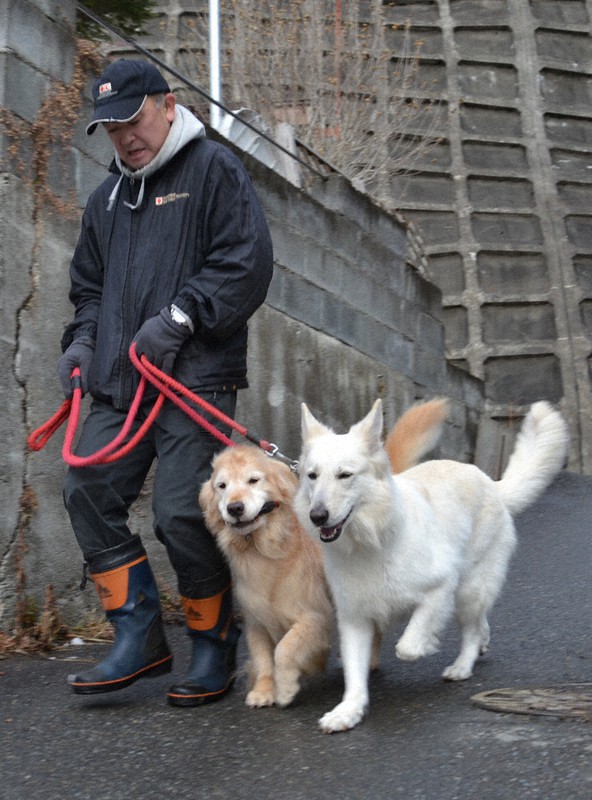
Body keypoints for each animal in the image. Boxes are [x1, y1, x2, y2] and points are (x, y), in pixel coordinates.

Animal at [296, 400, 568, 732]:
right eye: (312, 476)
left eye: (344, 475)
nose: (317, 516)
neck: (373, 542)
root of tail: (490, 482)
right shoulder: (354, 619)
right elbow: (354, 675)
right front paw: (348, 711)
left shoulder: (440, 589)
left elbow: (408, 646)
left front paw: (425, 645)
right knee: (480, 621)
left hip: (468, 589)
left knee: (471, 629)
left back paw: (463, 664)